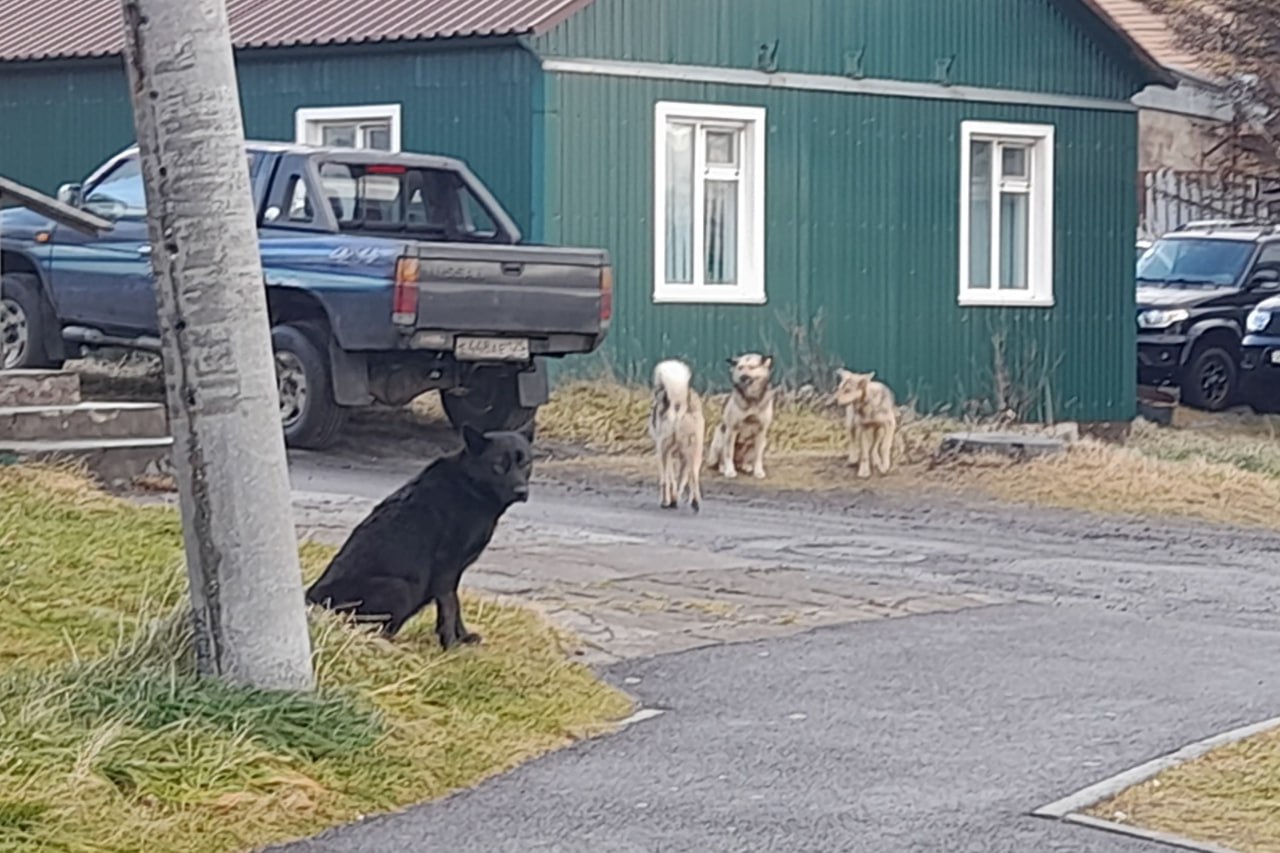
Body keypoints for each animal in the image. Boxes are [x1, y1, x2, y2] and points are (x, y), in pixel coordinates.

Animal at [305, 425, 535, 645]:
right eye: (499, 465)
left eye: (525, 464)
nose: (522, 492)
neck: (470, 486)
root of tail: (310, 598)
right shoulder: (446, 568)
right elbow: (450, 607)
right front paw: (451, 645)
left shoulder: (454, 573)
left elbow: (456, 605)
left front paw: (463, 638)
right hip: (399, 588)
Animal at [650, 358, 711, 512]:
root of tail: (679, 403)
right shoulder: (683, 456)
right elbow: (681, 479)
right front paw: (676, 499)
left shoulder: (668, 453)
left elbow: (671, 478)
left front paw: (671, 499)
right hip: (696, 450)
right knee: (694, 475)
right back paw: (694, 502)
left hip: (662, 450)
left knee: (664, 480)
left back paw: (665, 501)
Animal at [706, 350, 773, 479]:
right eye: (740, 367)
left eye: (752, 367)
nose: (743, 377)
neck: (751, 398)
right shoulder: (731, 429)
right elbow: (728, 453)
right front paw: (729, 471)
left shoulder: (761, 431)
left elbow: (758, 456)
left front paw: (758, 471)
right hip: (720, 438)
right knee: (722, 458)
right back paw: (723, 467)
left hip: (762, 442)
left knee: (746, 459)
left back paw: (746, 466)